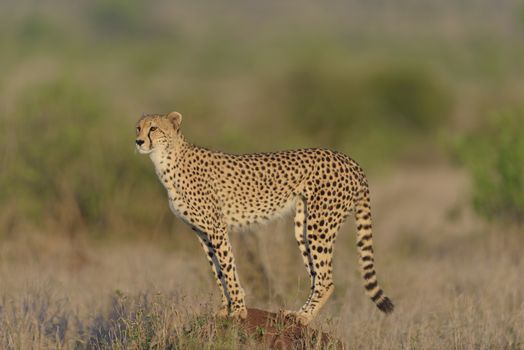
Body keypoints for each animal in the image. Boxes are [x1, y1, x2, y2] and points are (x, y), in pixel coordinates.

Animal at [135, 112, 392, 326]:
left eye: (153, 128)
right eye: (138, 127)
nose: (138, 141)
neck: (167, 159)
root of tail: (349, 159)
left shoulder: (217, 228)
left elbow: (228, 267)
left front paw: (239, 310)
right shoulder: (202, 234)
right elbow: (217, 271)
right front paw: (224, 309)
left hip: (320, 225)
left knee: (326, 279)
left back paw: (304, 317)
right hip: (303, 226)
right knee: (316, 276)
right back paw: (296, 313)